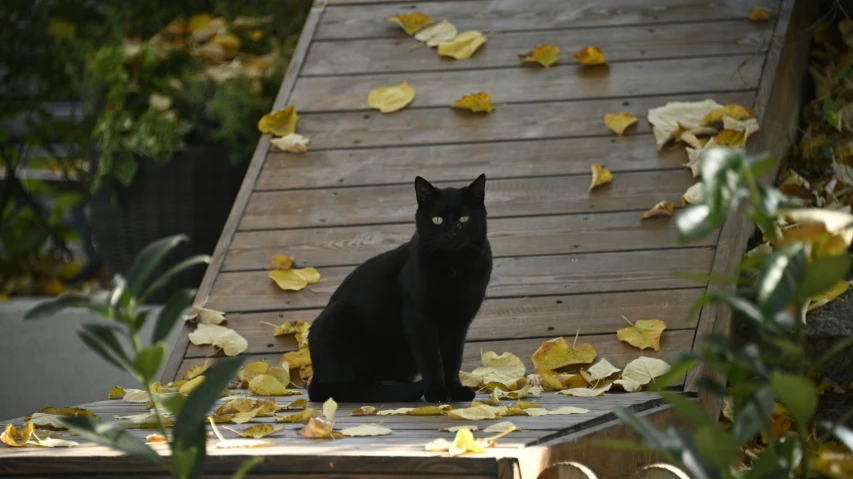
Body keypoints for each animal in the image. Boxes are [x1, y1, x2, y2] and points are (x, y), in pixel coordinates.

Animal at [306, 174, 492, 404]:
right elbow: (432, 360)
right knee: (343, 384)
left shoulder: (459, 322)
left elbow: (453, 360)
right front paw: (437, 393)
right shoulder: (419, 319)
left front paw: (455, 390)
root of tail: (315, 377)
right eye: (437, 220)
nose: (451, 234)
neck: (454, 267)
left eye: (464, 219)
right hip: (338, 315)